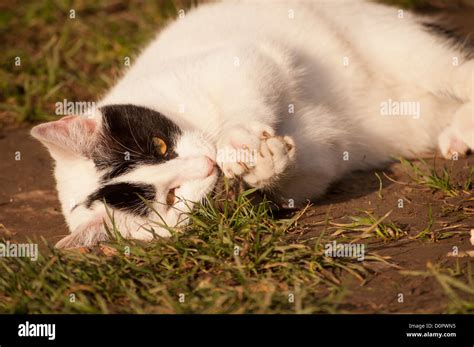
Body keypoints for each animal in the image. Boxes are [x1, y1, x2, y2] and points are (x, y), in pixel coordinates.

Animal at [31, 0, 472, 250]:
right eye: (170, 199)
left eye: (159, 146)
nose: (207, 164)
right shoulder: (321, 158)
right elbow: (305, 170)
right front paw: (265, 167)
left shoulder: (238, 59)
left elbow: (247, 87)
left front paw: (241, 142)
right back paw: (456, 131)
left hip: (400, 45)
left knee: (458, 69)